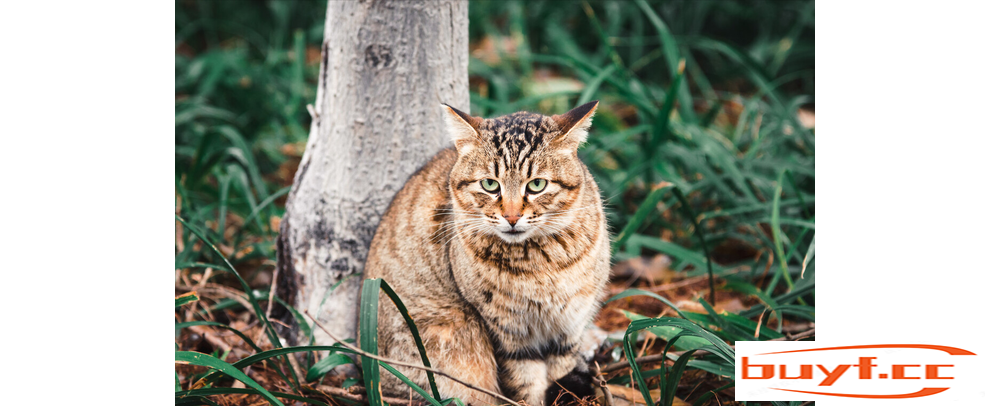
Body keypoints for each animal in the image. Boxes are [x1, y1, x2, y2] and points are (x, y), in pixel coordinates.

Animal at [364, 100, 612, 404]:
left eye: (537, 184)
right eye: (490, 184)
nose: (512, 217)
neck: (539, 264)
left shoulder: (569, 325)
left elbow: (561, 369)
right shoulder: (507, 331)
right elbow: (526, 382)